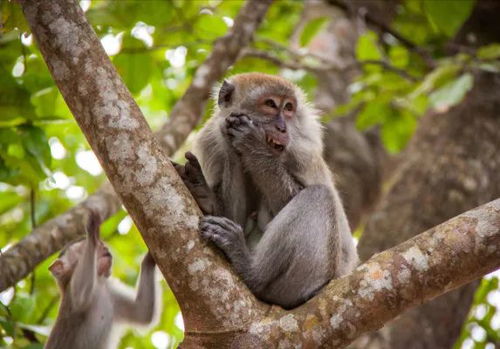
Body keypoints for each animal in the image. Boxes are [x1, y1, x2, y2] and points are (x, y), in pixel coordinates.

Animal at [46, 211, 158, 346]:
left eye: (103, 245)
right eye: (84, 247)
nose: (104, 247)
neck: (98, 283)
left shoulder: (110, 293)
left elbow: (143, 312)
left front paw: (148, 259)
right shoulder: (70, 294)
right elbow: (81, 296)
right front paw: (92, 235)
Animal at [177, 72, 360, 308]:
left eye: (288, 107)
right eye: (270, 105)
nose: (282, 128)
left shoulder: (302, 149)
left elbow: (290, 197)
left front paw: (252, 145)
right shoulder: (210, 139)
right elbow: (234, 216)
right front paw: (205, 193)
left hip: (309, 281)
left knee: (319, 196)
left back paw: (251, 272)